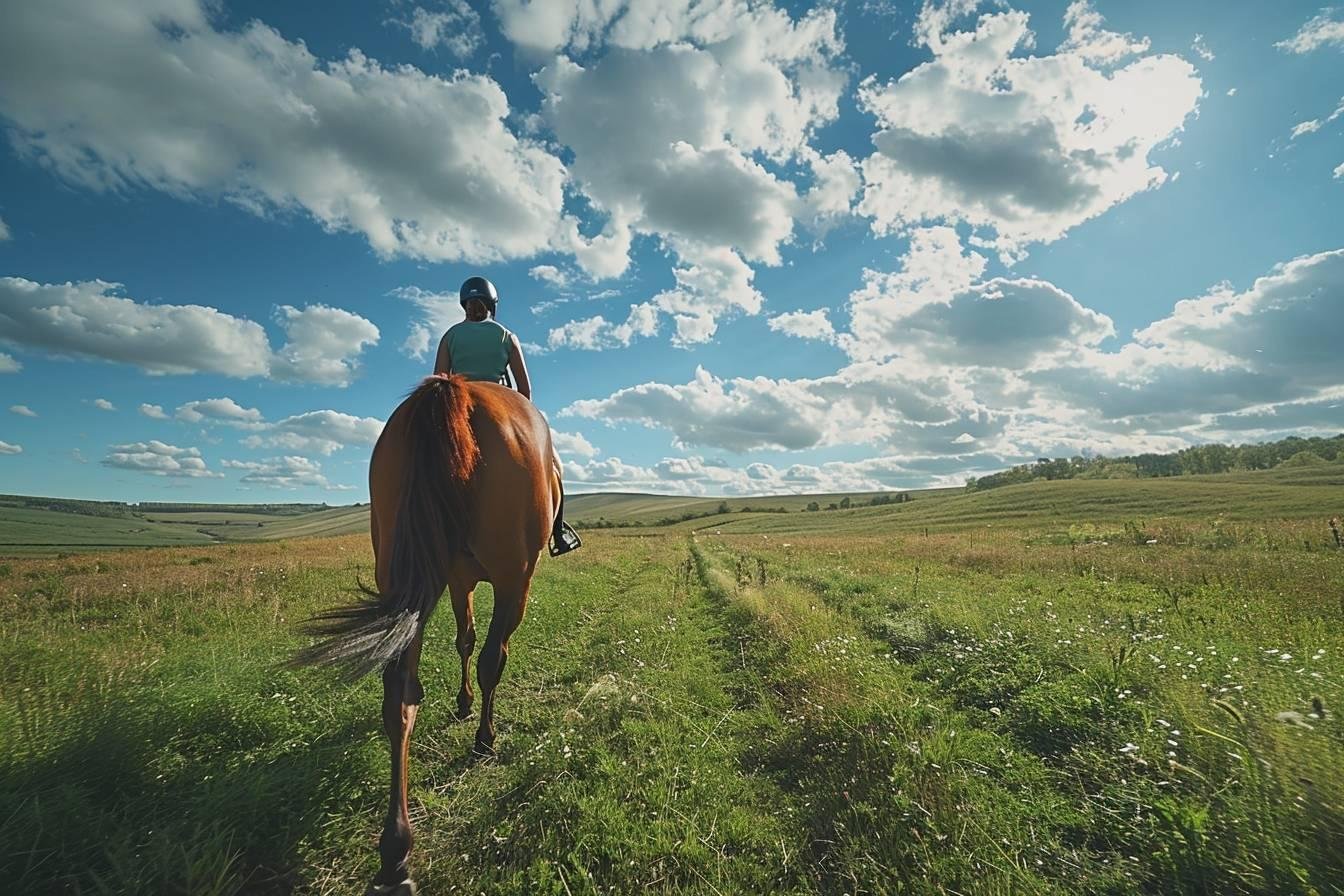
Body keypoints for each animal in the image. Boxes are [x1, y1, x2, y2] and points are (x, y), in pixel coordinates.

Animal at [297, 373, 559, 896]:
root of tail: (453, 389)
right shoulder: (505, 582)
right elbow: (483, 651)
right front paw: (476, 721)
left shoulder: (457, 580)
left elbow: (463, 639)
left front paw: (460, 703)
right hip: (512, 577)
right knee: (491, 660)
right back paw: (484, 741)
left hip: (407, 575)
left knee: (400, 692)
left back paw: (395, 853)